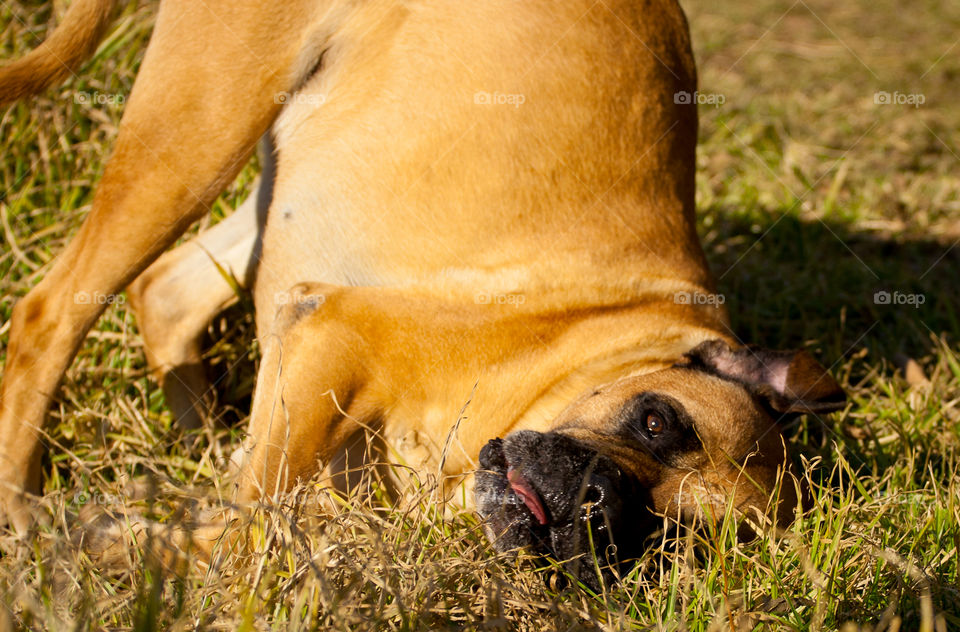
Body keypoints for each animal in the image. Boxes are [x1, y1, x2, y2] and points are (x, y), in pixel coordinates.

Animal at [0, 0, 844, 584]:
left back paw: (197, 439)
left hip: (286, 175)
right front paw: (126, 543)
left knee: (167, 293)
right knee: (50, 313)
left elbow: (256, 521)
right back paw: (19, 509)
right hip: (200, 125)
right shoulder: (335, 334)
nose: (600, 504)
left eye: (673, 542)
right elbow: (251, 532)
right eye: (657, 421)